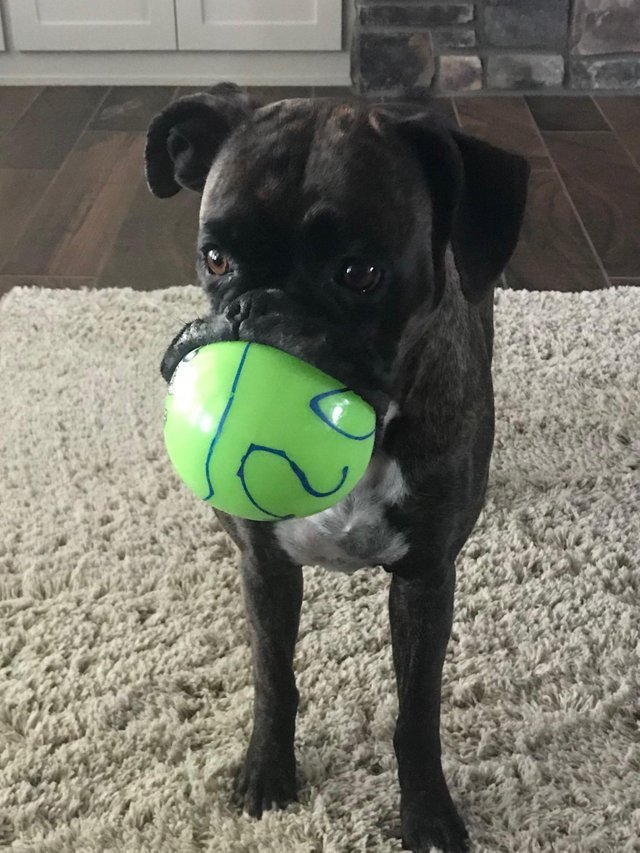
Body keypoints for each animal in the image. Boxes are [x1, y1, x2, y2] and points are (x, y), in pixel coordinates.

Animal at [145, 81, 528, 852]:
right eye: (216, 259)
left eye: (360, 273)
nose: (256, 310)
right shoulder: (264, 566)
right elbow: (273, 677)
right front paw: (267, 770)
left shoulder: (424, 581)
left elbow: (416, 713)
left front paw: (427, 814)